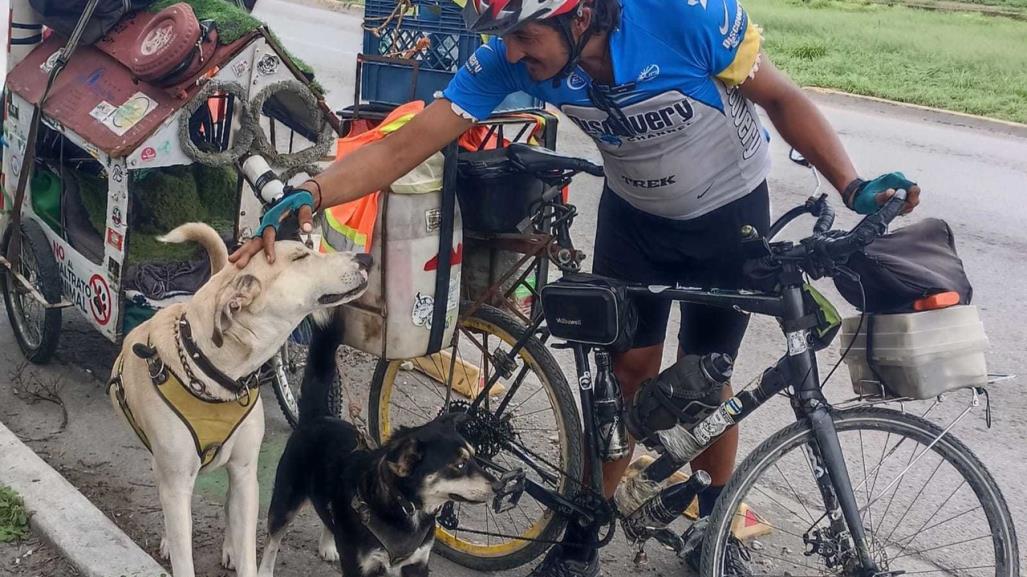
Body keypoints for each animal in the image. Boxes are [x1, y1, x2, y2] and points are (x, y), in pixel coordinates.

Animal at [107, 223, 369, 574]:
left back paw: (229, 546)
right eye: (300, 257)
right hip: (164, 465)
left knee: (232, 502)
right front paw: (174, 545)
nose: (366, 258)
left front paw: (237, 550)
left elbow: (247, 549)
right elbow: (183, 551)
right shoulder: (176, 482)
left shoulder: (246, 471)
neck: (213, 372)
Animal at [258, 324, 495, 574]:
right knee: (273, 538)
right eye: (459, 464)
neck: (406, 507)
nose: (500, 486)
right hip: (287, 498)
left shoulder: (418, 562)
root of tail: (319, 416)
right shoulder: (360, 565)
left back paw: (328, 544)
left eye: (475, 457)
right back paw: (265, 570)